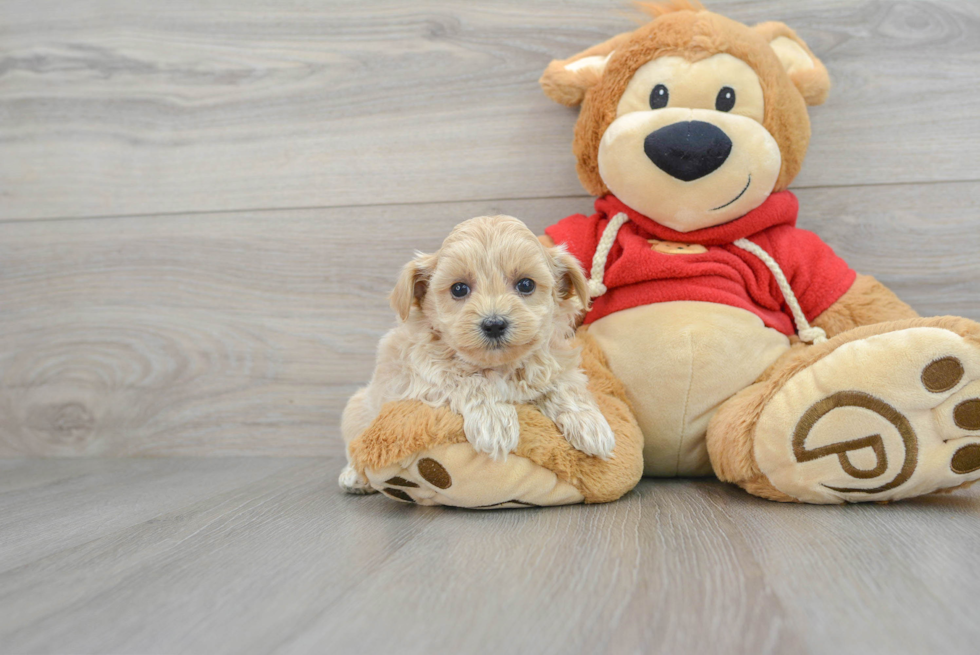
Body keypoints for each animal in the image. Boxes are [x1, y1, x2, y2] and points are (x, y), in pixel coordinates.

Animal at [336, 218, 612, 494]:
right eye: (459, 289)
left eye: (526, 284)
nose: (494, 324)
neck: (501, 366)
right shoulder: (422, 375)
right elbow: (469, 380)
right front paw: (495, 422)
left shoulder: (554, 362)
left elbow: (564, 384)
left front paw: (589, 423)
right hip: (357, 409)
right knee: (354, 447)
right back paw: (354, 477)